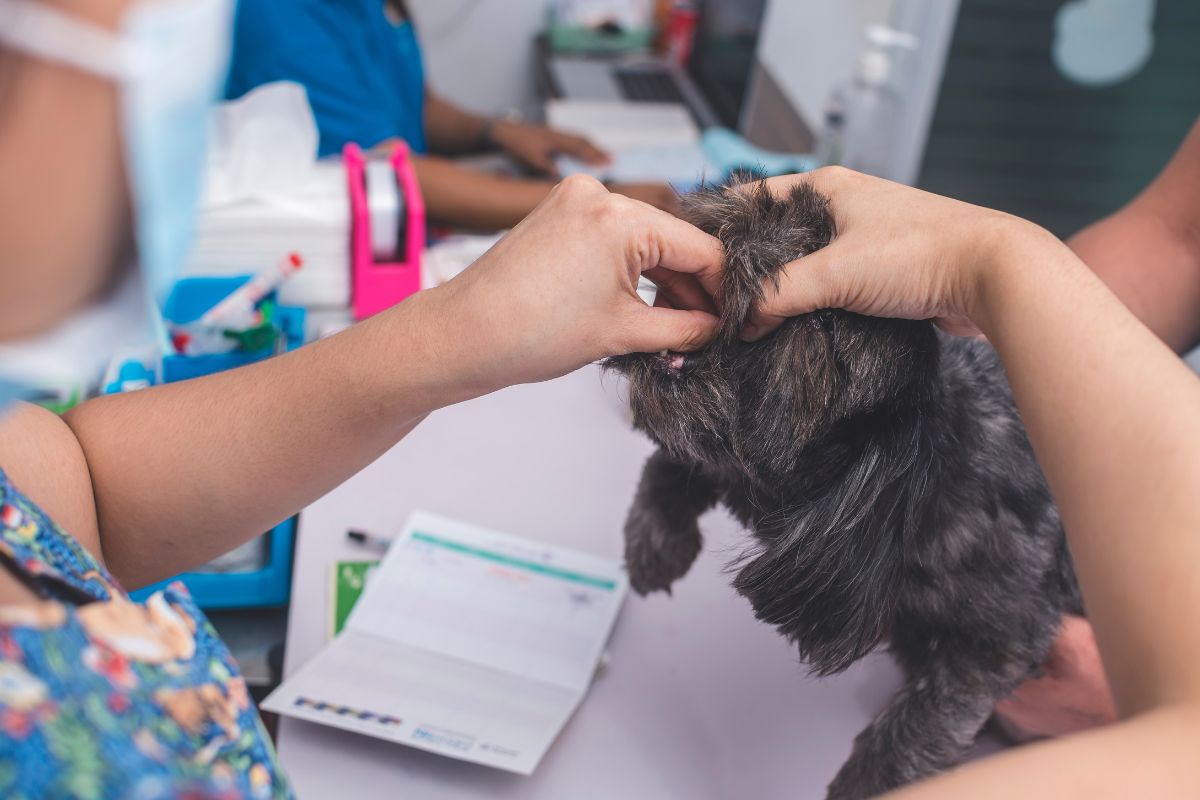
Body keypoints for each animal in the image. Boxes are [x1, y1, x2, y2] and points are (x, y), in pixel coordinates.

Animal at [604, 178, 1084, 796]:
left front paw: (875, 778)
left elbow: (926, 716)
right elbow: (674, 464)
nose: (755, 217)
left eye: (823, 323)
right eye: (788, 205)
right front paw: (654, 545)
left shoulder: (1002, 634)